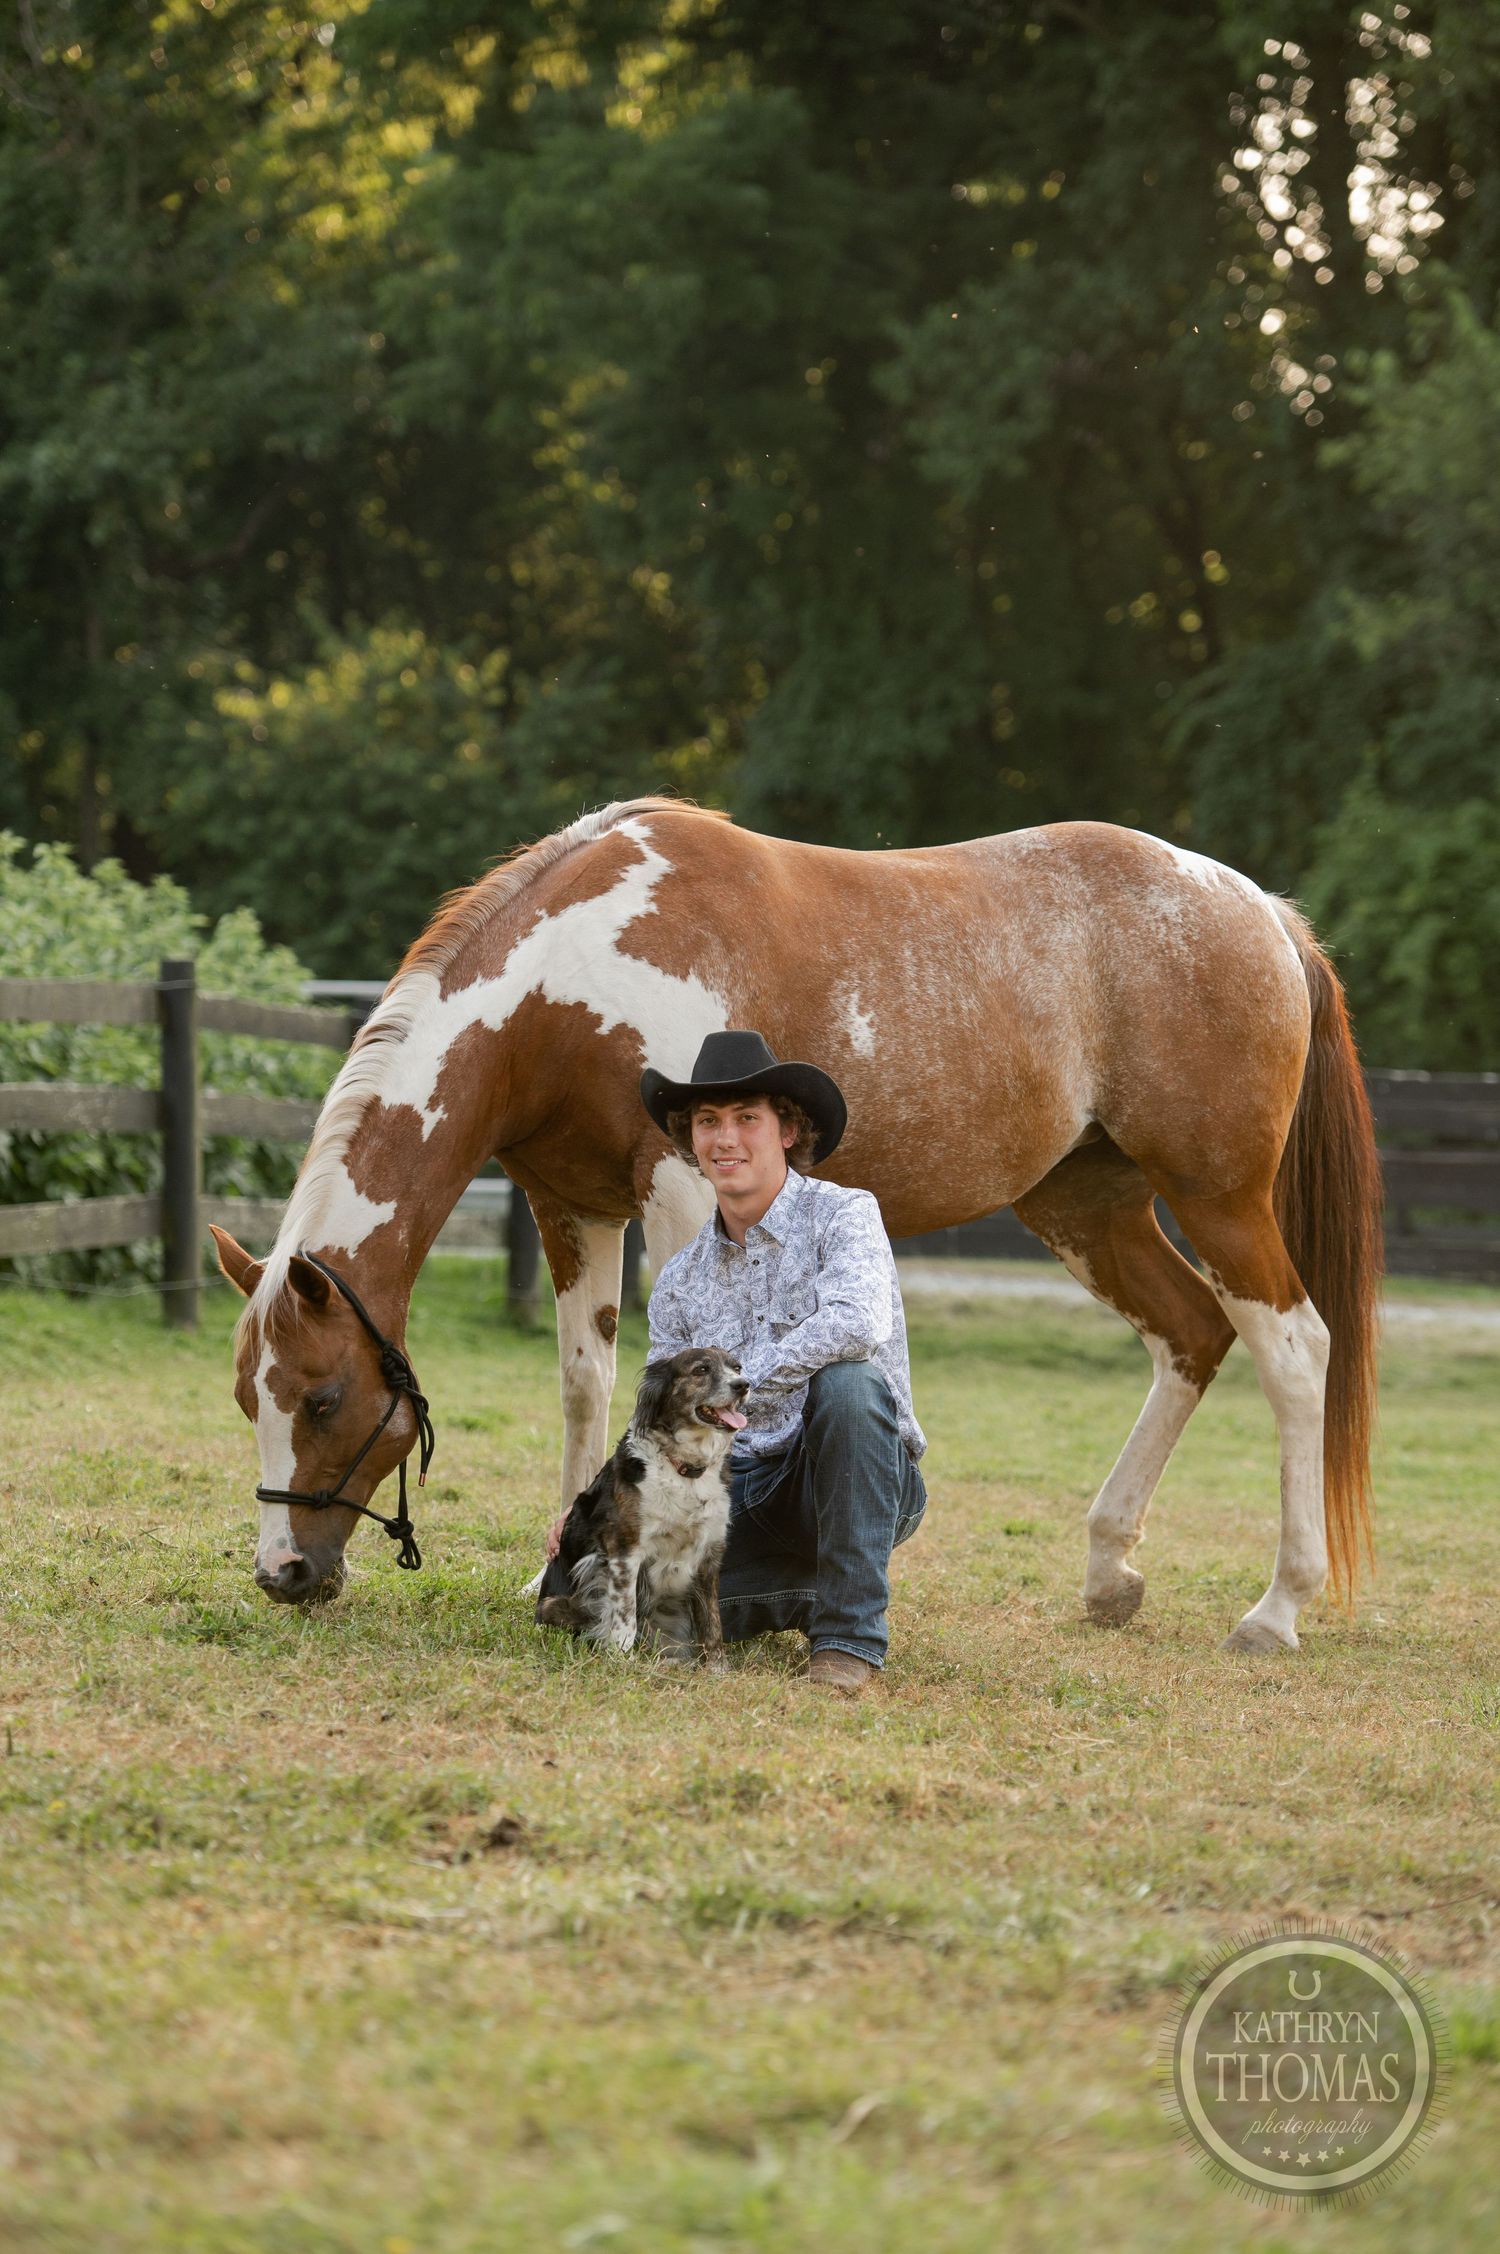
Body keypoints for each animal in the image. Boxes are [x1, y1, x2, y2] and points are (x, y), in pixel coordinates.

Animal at [211, 797, 1382, 1653]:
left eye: (323, 1397)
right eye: (246, 1398)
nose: (284, 1572)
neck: (569, 982)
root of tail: (1259, 909)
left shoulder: (675, 1191)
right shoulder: (570, 1205)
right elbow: (587, 1383)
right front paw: (560, 1564)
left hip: (1218, 1197)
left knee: (1294, 1350)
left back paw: (1276, 1608)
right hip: (1087, 1205)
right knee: (1190, 1335)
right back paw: (1107, 1575)